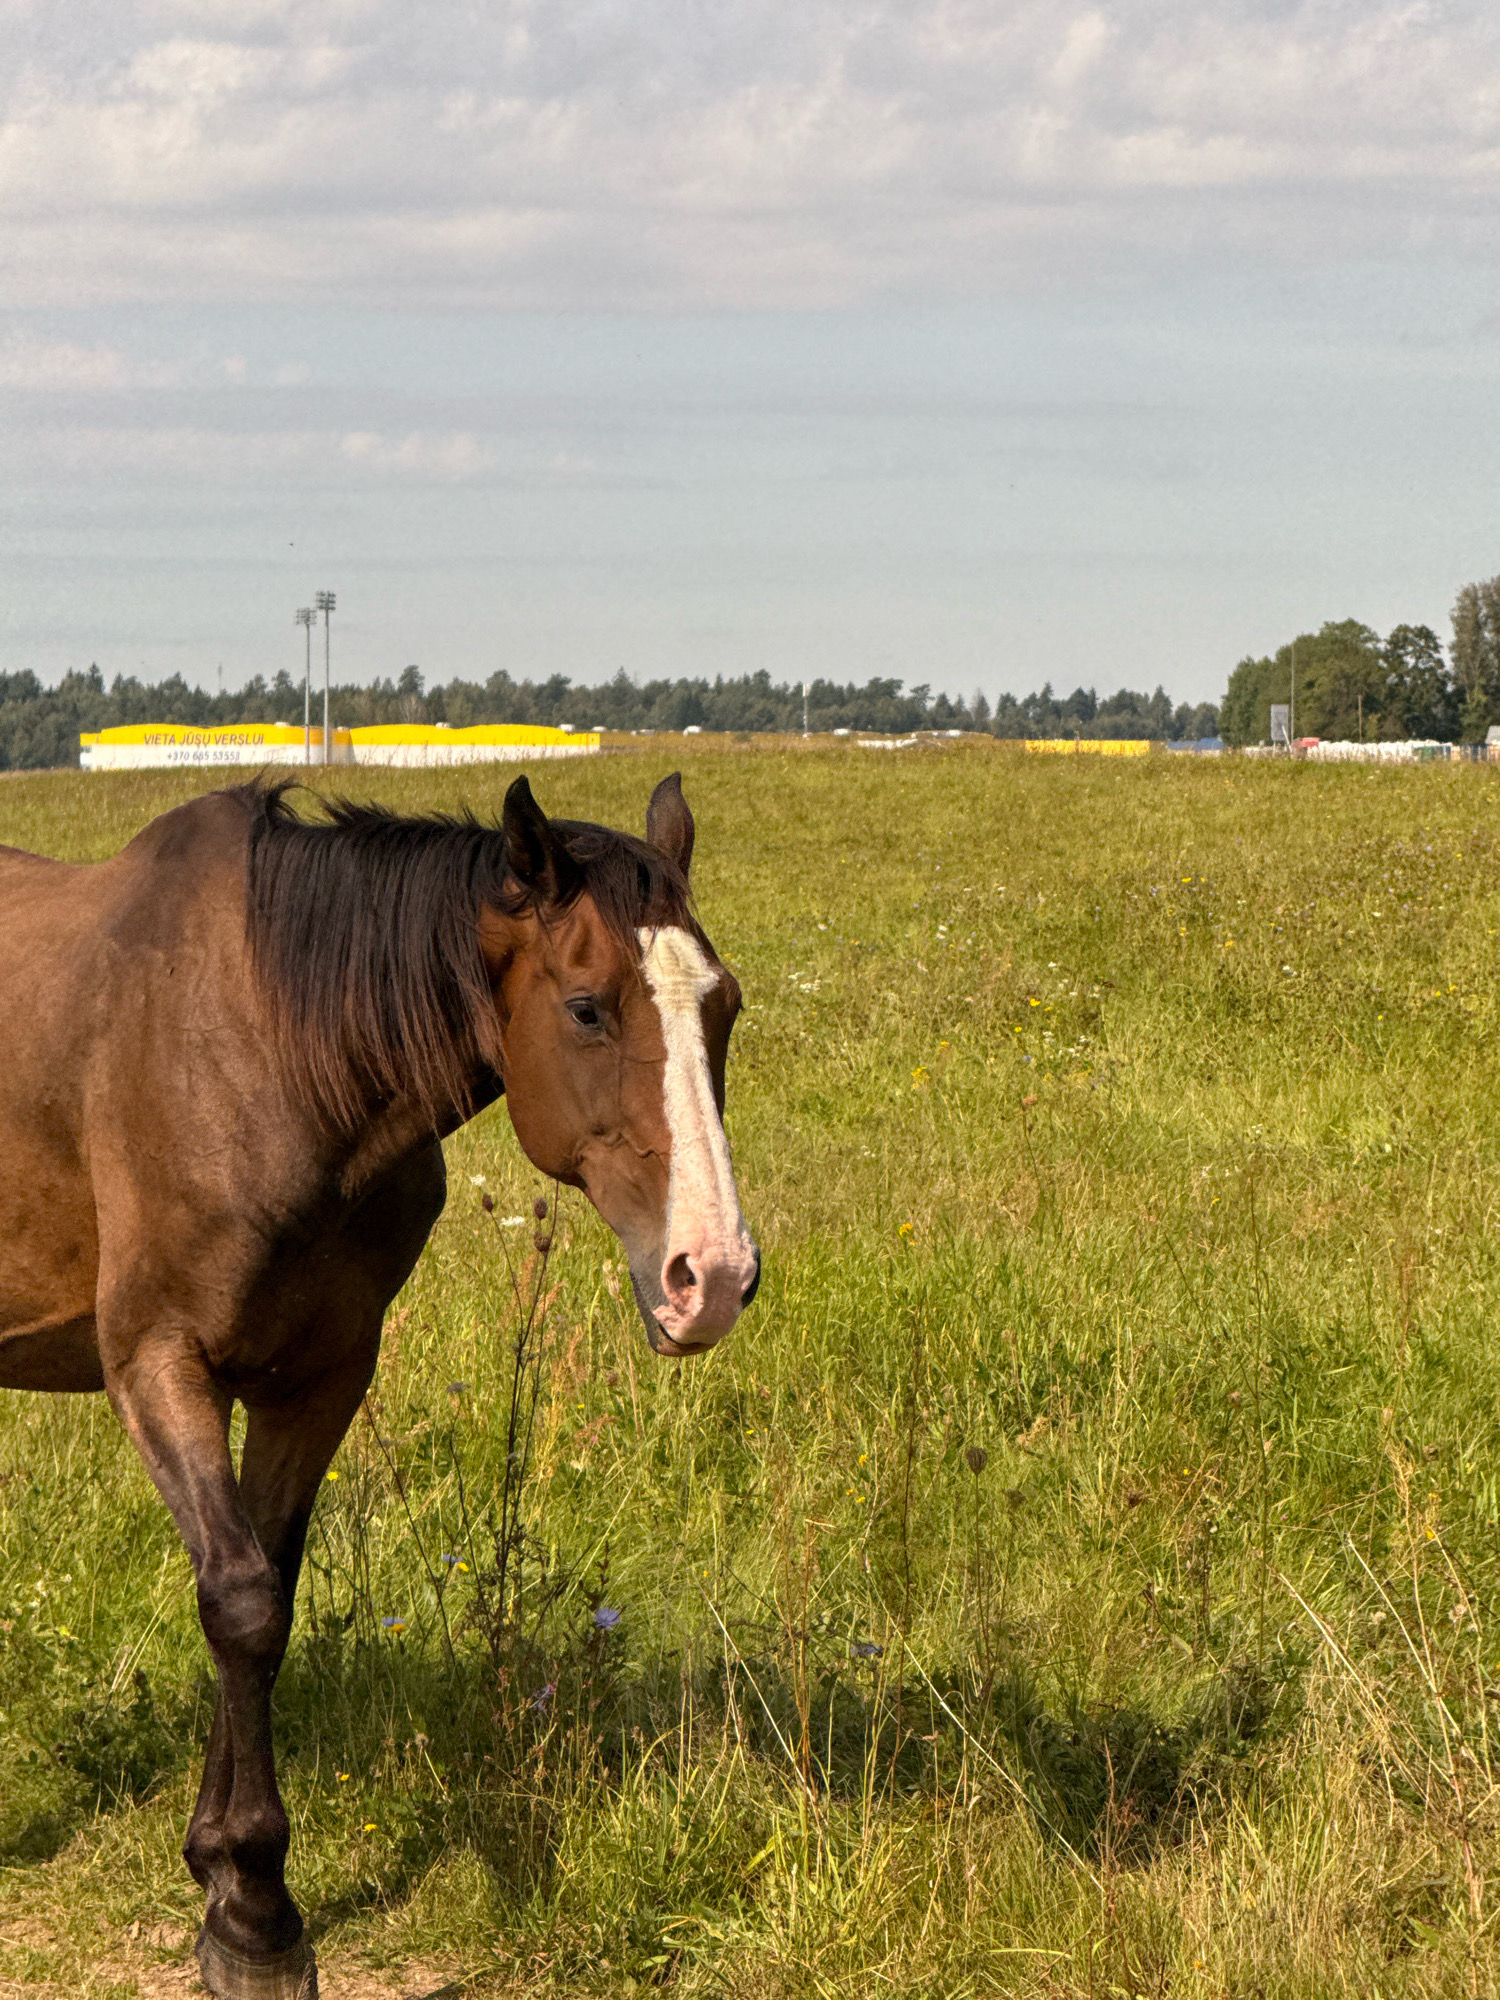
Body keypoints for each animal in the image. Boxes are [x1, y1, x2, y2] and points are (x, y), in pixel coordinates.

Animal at [0, 771, 759, 2000]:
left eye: (724, 1006)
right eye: (588, 1007)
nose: (717, 1274)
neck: (273, 1051)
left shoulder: (318, 1377)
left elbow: (266, 1592)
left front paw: (220, 1870)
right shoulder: (158, 1362)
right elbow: (239, 1600)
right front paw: (258, 1916)